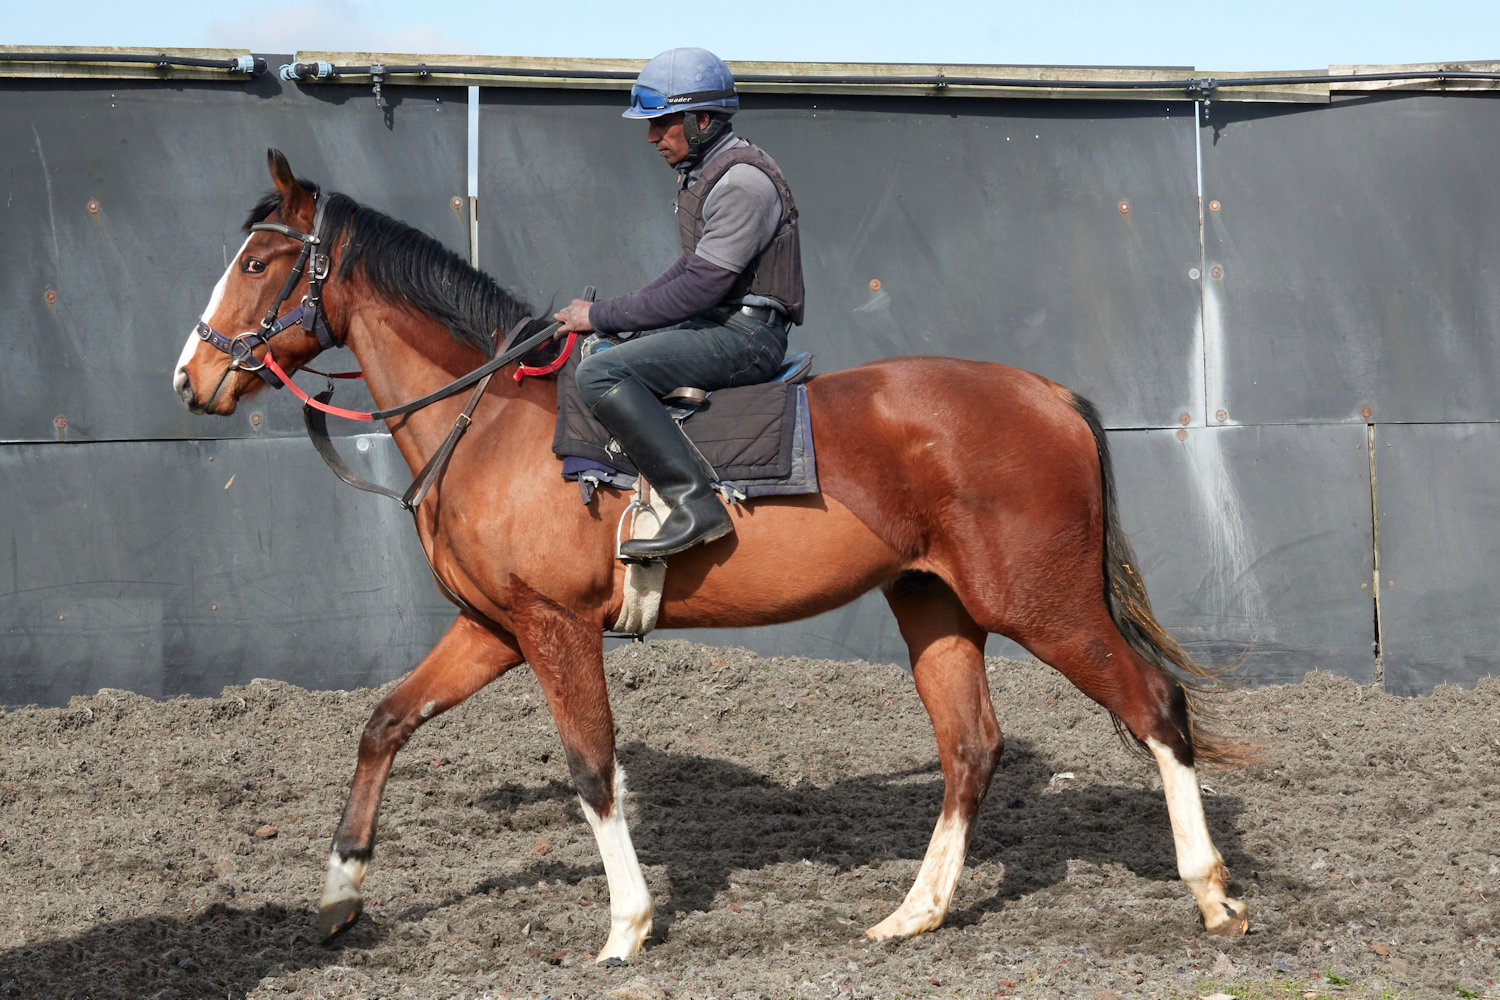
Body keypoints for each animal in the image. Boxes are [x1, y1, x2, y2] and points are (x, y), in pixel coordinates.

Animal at [172, 149, 1249, 962]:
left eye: (261, 264)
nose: (192, 378)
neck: (491, 424)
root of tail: (1046, 394)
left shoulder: (555, 629)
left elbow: (592, 765)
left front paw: (626, 925)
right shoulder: (493, 627)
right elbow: (385, 723)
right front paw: (339, 893)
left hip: (1043, 606)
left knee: (1156, 707)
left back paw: (1211, 894)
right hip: (935, 607)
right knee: (971, 749)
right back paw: (913, 913)